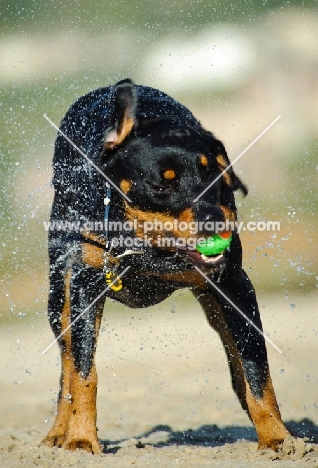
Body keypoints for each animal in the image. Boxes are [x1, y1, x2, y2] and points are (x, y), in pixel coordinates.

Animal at [42, 79, 290, 454]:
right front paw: (81, 439)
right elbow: (84, 372)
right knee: (67, 363)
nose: (216, 224)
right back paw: (59, 430)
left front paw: (277, 437)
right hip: (59, 295)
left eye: (214, 174)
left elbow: (255, 367)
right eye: (161, 184)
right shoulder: (86, 281)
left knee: (235, 359)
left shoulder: (233, 282)